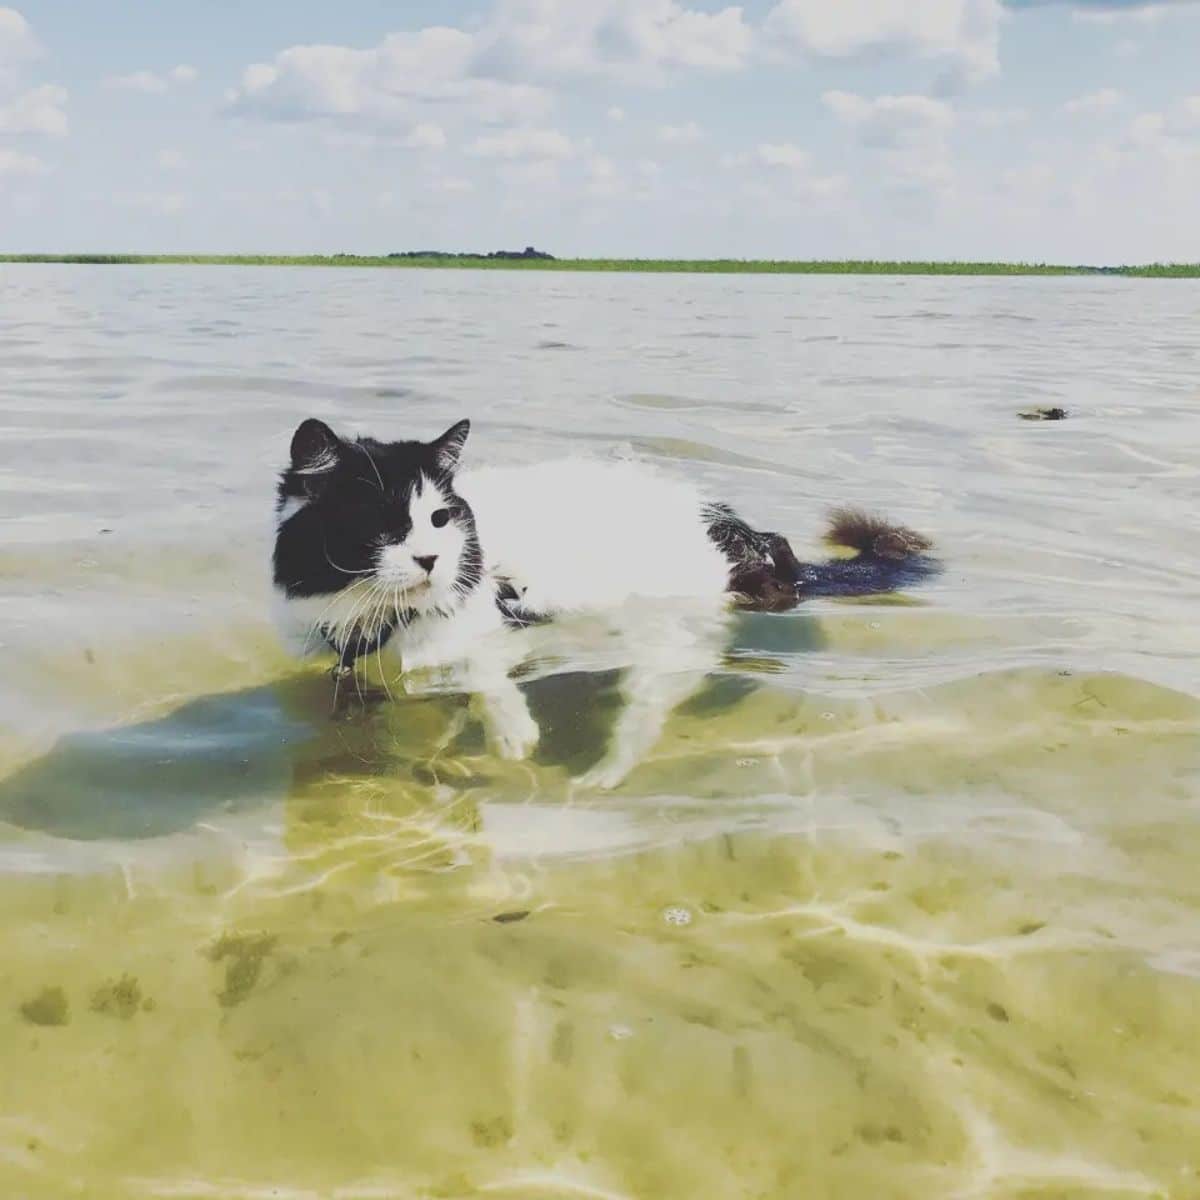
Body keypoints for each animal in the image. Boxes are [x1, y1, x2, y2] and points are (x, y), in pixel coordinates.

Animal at [272, 420, 936, 787]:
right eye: (383, 524)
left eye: (440, 519)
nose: (433, 560)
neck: (373, 615)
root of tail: (748, 536)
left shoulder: (495, 634)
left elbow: (487, 680)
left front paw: (511, 736)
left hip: (664, 645)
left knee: (643, 718)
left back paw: (601, 776)